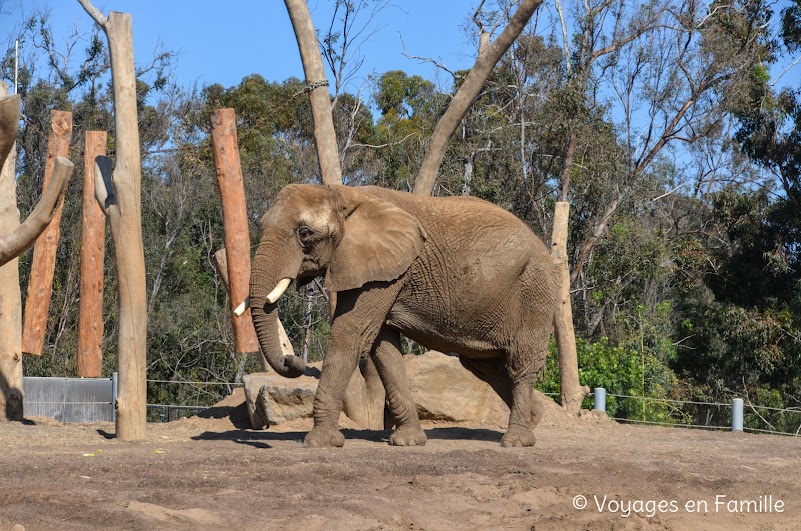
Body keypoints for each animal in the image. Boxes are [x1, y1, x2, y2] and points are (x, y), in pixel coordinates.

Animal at [248, 185, 556, 446]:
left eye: (305, 233)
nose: (293, 360)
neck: (342, 193)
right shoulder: (375, 268)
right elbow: (383, 347)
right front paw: (408, 442)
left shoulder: (381, 270)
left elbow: (351, 332)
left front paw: (319, 442)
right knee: (485, 365)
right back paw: (535, 416)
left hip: (535, 289)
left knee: (520, 364)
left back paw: (516, 441)